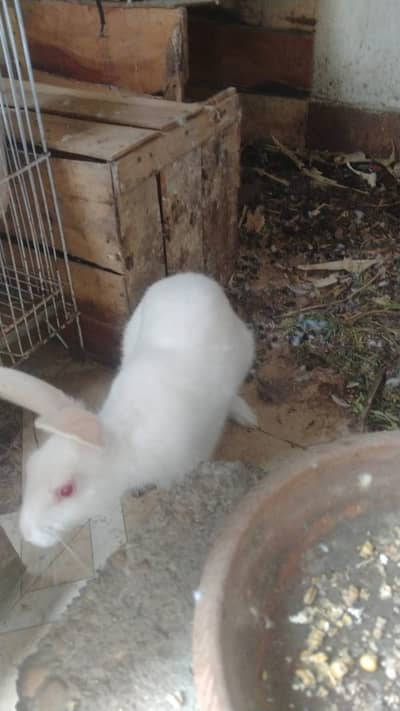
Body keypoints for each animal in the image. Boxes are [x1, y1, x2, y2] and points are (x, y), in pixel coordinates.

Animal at [0, 272, 257, 548]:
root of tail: (189, 277)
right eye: (31, 467)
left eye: (66, 490)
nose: (27, 534)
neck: (123, 447)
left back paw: (247, 416)